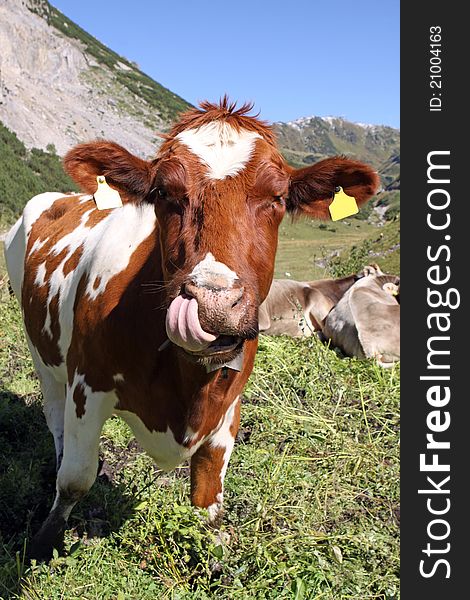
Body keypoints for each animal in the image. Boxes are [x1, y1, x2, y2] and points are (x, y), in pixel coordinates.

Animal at [2, 98, 378, 556]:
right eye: (163, 192)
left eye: (277, 197)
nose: (213, 304)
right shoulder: (86, 387)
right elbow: (74, 480)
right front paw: (43, 543)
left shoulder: (229, 403)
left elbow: (207, 497)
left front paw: (213, 555)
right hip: (42, 353)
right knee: (54, 416)